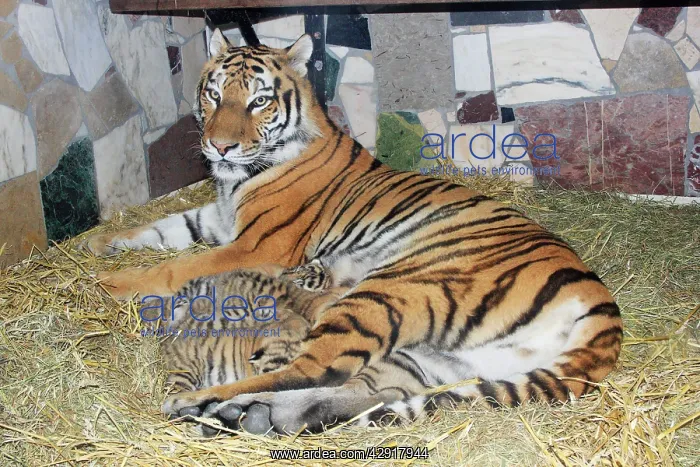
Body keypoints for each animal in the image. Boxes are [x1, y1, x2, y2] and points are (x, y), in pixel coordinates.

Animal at [83, 30, 623, 435]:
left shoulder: (257, 244)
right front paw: (93, 246)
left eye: (258, 102)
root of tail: (603, 310)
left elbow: (175, 266)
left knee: (312, 368)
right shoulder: (215, 219)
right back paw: (257, 415)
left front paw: (105, 283)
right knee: (363, 389)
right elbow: (158, 229)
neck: (234, 180)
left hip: (394, 290)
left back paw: (201, 401)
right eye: (214, 94)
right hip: (442, 358)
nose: (219, 146)